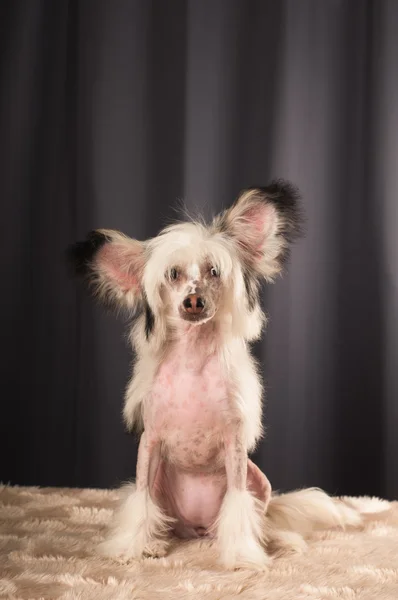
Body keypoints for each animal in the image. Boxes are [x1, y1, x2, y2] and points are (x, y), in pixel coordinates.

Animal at [68, 180, 360, 568]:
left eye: (213, 272)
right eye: (173, 274)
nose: (194, 301)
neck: (193, 360)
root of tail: (198, 529)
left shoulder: (234, 448)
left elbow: (237, 503)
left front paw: (242, 556)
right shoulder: (150, 443)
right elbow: (140, 500)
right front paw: (128, 548)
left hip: (259, 481)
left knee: (259, 516)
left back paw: (279, 541)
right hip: (165, 481)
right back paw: (156, 544)